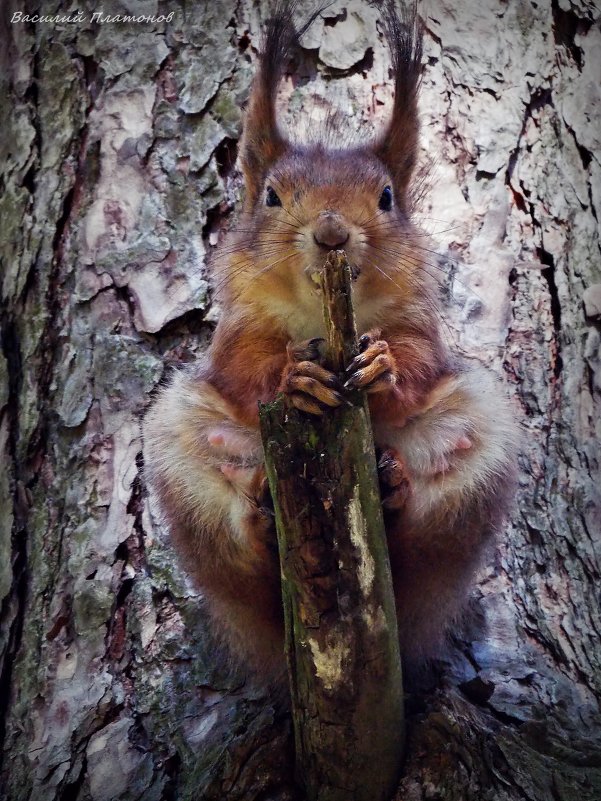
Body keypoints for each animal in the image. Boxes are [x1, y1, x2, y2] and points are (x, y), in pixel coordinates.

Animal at [142, 1, 516, 680]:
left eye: (387, 198)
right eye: (271, 196)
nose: (333, 233)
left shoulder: (416, 321)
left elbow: (417, 361)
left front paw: (381, 367)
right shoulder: (240, 328)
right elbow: (245, 369)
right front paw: (297, 380)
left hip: (473, 455)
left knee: (420, 543)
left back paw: (395, 494)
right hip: (187, 459)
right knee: (244, 554)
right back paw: (263, 520)